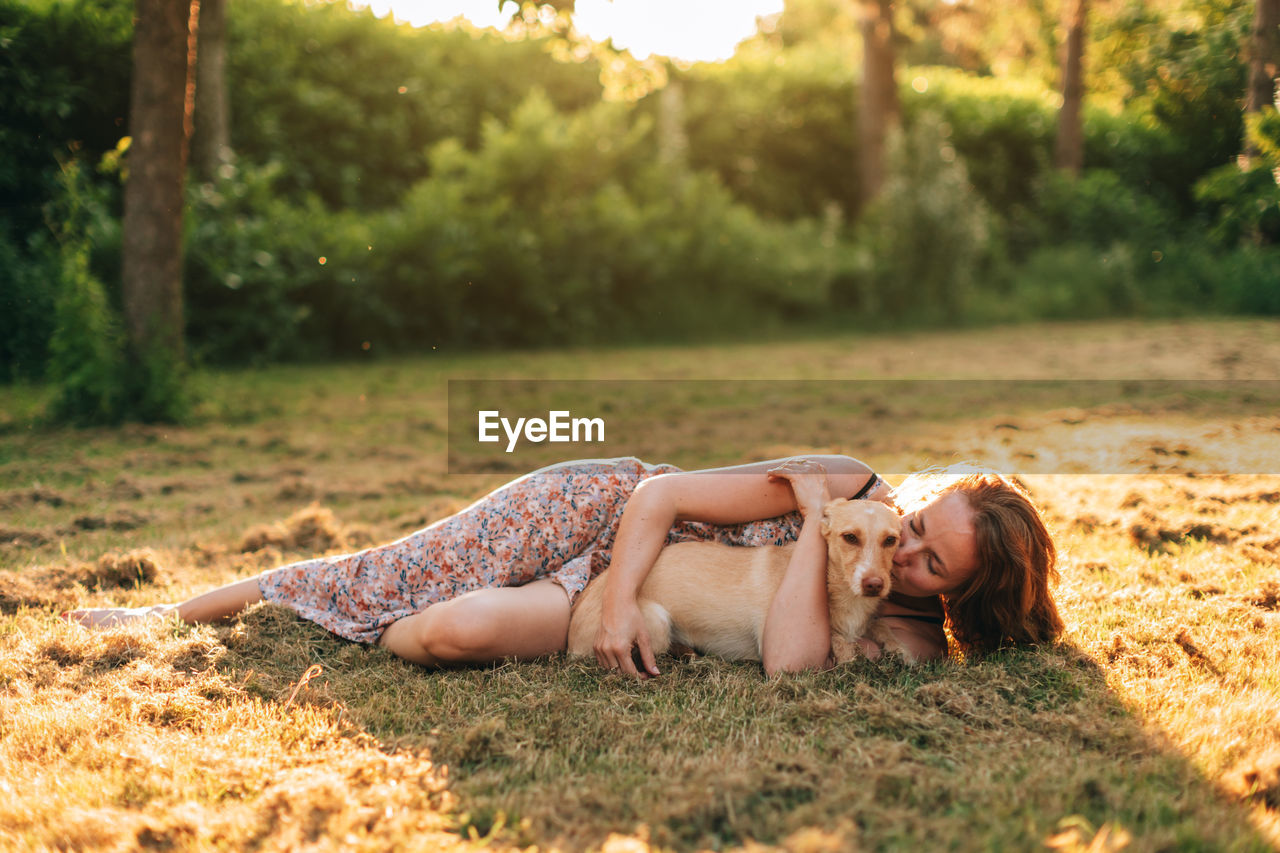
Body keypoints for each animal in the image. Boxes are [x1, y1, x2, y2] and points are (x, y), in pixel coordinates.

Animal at [568, 499, 911, 666]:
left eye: (891, 540)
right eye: (849, 537)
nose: (874, 584)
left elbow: (881, 626)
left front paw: (899, 648)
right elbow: (841, 645)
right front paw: (851, 654)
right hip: (655, 620)